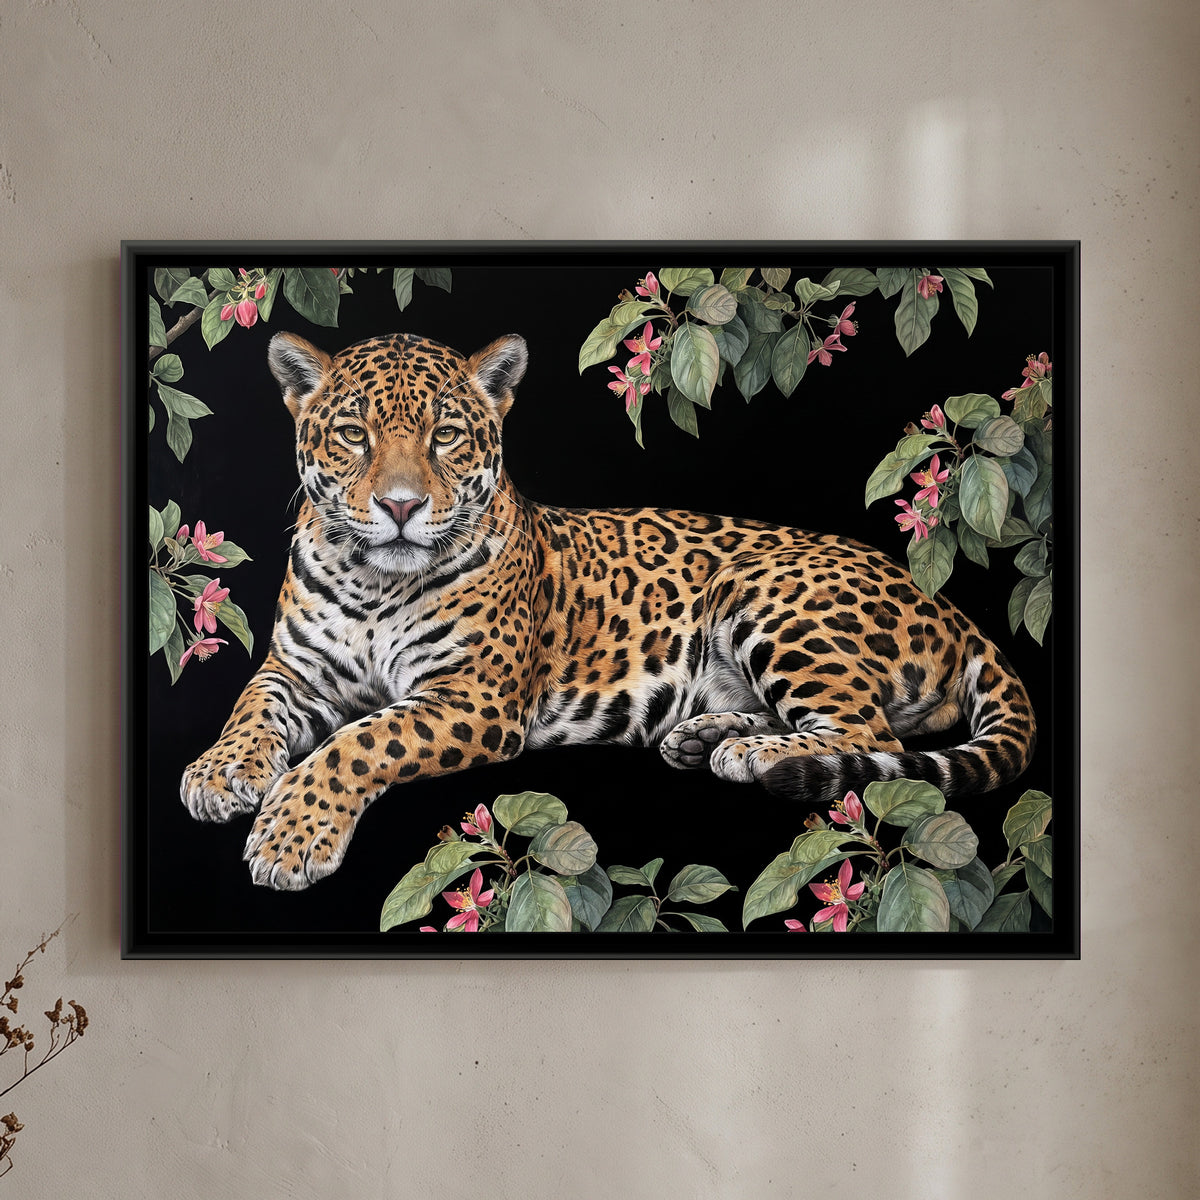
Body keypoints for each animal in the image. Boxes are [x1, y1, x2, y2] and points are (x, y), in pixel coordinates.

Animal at [180, 330, 1036, 891]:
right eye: (353, 435)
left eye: (446, 436)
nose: (399, 506)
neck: (374, 584)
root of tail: (946, 602)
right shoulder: (296, 670)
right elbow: (249, 709)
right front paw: (218, 774)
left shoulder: (472, 698)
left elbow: (359, 744)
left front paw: (289, 837)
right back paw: (708, 737)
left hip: (764, 590)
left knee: (868, 733)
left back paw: (757, 755)